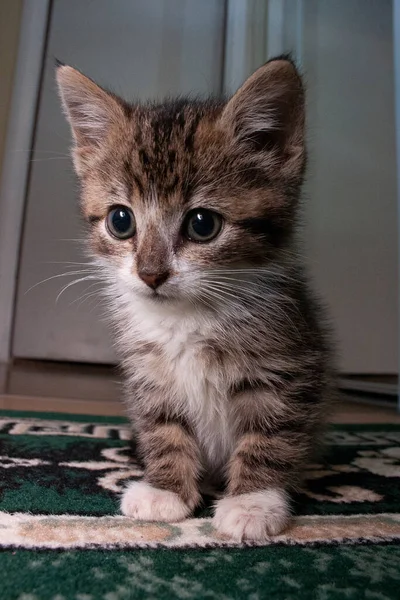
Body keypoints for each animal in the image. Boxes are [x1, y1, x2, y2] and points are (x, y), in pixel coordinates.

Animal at [56, 56, 332, 540]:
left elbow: (273, 433)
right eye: (120, 221)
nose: (150, 273)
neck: (186, 319)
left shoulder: (288, 364)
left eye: (203, 224)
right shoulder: (149, 375)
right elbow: (163, 428)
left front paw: (253, 502)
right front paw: (166, 489)